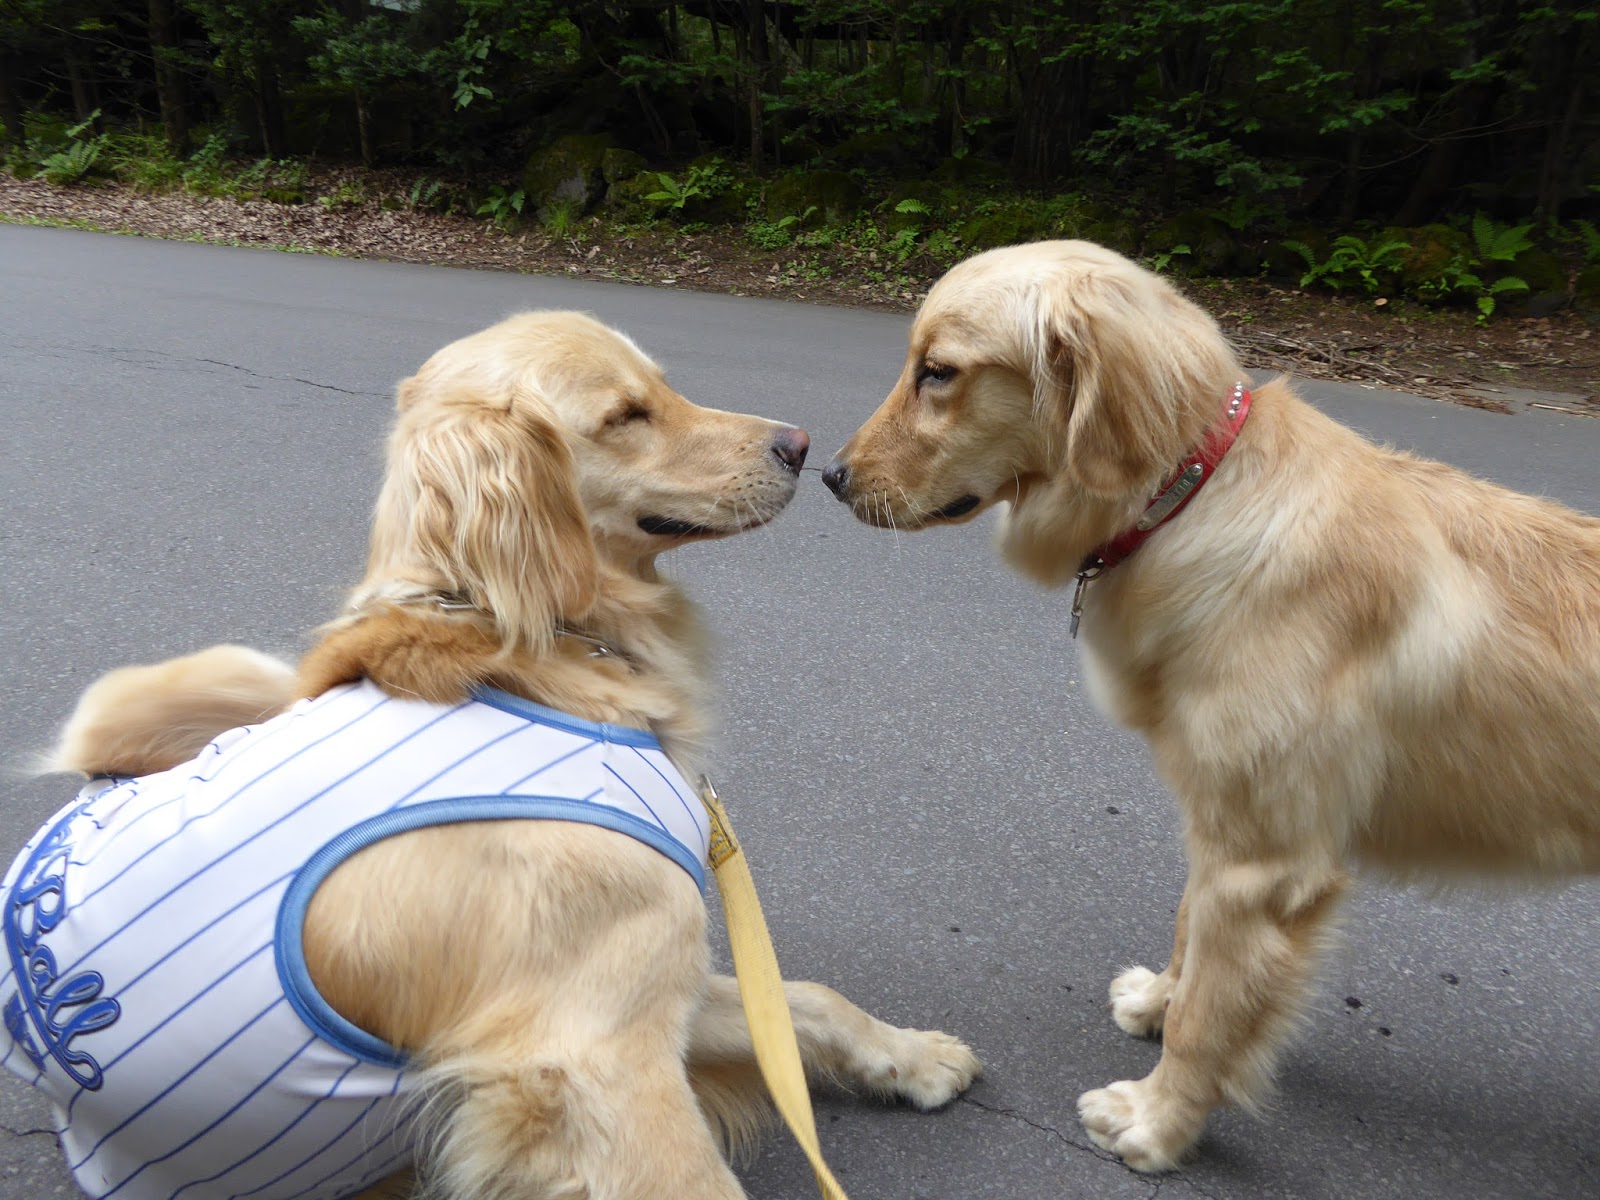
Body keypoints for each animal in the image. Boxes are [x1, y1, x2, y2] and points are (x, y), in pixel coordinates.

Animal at [4, 311, 980, 1200]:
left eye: (662, 388)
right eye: (627, 414)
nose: (803, 447)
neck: (528, 657)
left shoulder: (647, 986)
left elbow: (804, 999)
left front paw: (914, 1058)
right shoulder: (594, 1054)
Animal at [821, 240, 1600, 1172]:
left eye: (938, 372)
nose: (829, 476)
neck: (1190, 498)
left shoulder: (1262, 862)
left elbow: (1209, 1016)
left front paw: (1157, 1122)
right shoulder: (1217, 818)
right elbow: (1190, 939)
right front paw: (1158, 1002)